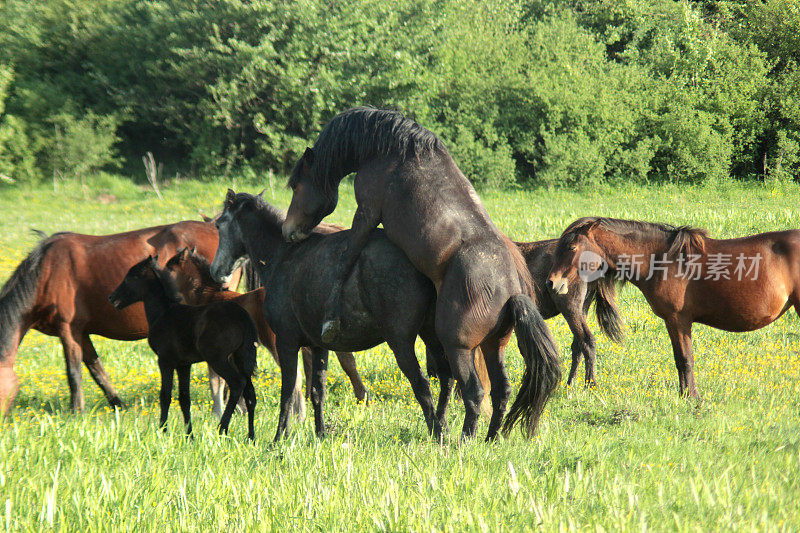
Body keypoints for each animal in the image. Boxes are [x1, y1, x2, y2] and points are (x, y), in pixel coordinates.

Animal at [0, 218, 239, 414]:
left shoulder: (68, 329)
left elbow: (73, 372)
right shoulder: (81, 332)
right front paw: (117, 404)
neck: (46, 271)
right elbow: (96, 370)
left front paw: (76, 412)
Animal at [167, 247, 374, 418]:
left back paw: (299, 416)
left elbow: (215, 382)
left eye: (169, 266)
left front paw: (217, 414)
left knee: (295, 377)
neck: (209, 296)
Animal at [209, 191, 454, 440]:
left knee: (422, 384)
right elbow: (318, 390)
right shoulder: (318, 346)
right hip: (430, 334)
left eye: (219, 225)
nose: (215, 272)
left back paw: (437, 434)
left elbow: (288, 392)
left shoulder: (286, 343)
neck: (283, 256)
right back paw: (444, 425)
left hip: (401, 342)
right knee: (446, 377)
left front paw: (279, 437)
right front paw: (320, 434)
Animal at [282, 106, 564, 438]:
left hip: (458, 347)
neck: (390, 152)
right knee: (501, 391)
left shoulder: (366, 213)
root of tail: (510, 291)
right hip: (494, 345)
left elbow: (346, 259)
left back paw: (465, 439)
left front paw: (331, 318)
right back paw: (490, 438)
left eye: (297, 185)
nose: (288, 231)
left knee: (473, 391)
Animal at [548, 215, 800, 394]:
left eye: (571, 248)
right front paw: (684, 395)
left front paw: (691, 397)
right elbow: (680, 359)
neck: (663, 260)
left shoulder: (678, 319)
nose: (552, 283)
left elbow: (685, 359)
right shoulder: (675, 321)